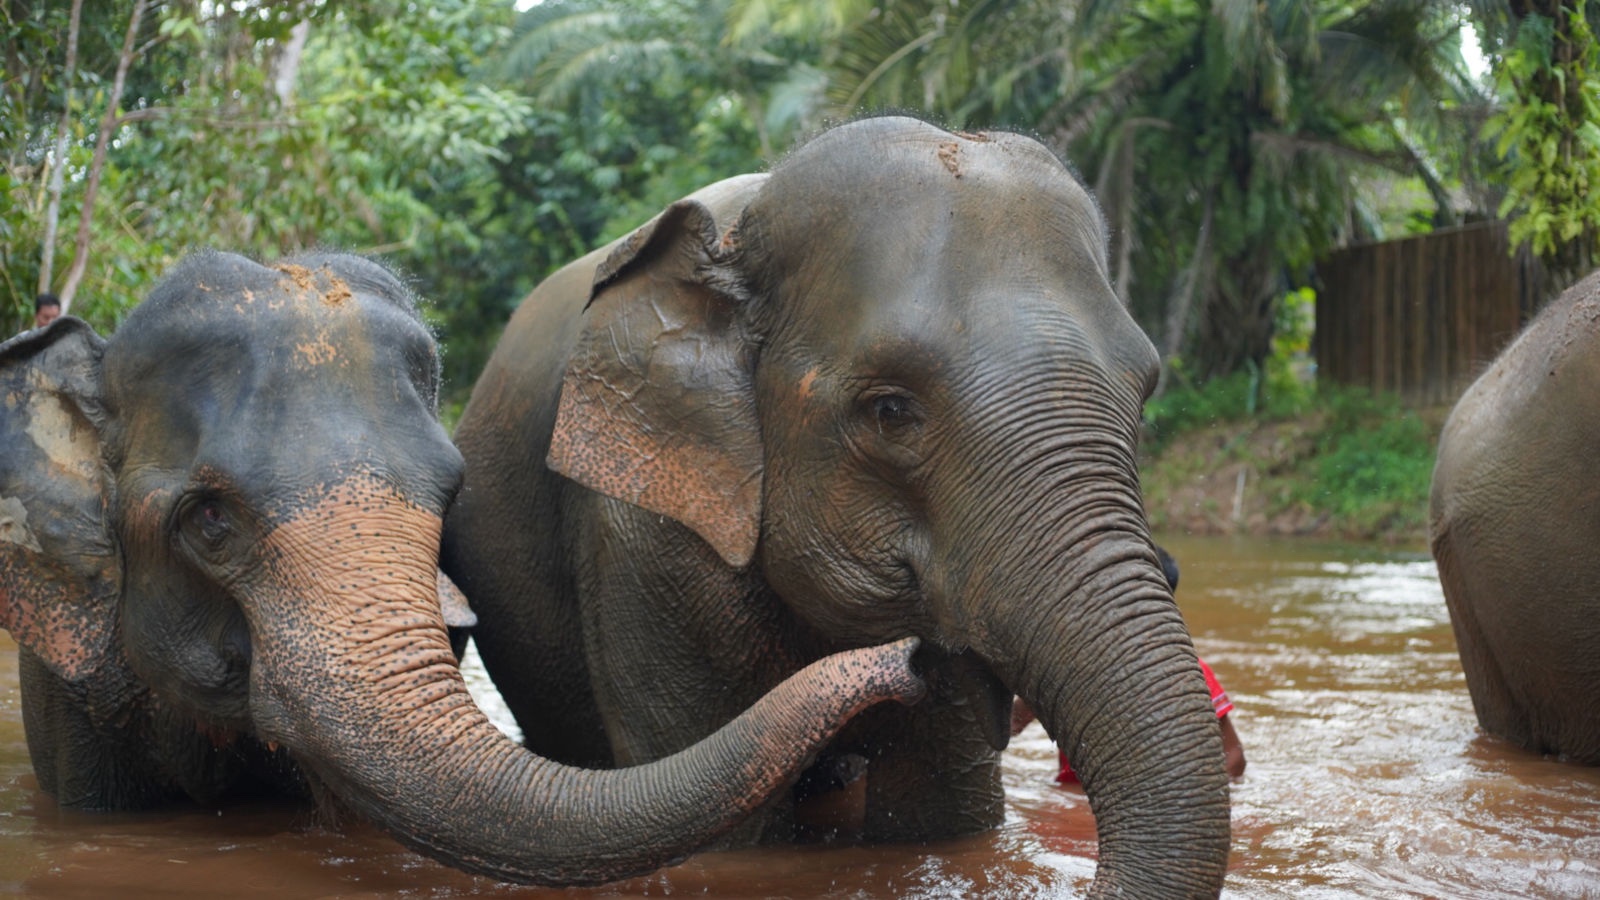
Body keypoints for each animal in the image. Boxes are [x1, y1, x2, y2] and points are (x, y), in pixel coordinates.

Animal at [442, 116, 1232, 898]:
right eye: (891, 410)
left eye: (1144, 391)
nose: (903, 662)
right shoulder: (644, 532)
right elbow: (723, 832)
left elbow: (942, 810)